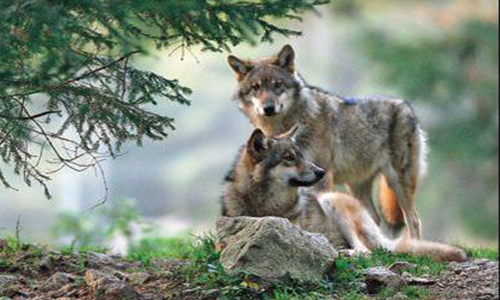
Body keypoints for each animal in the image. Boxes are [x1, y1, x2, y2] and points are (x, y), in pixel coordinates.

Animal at [221, 129, 466, 262]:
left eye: (301, 155)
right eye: (289, 157)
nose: (321, 172)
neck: (264, 205)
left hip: (332, 201)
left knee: (365, 251)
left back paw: (339, 251)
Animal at [229, 44, 428, 239]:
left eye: (278, 85)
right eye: (256, 88)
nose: (268, 108)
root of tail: (406, 105)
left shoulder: (322, 174)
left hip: (398, 181)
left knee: (414, 220)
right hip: (357, 185)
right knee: (372, 217)